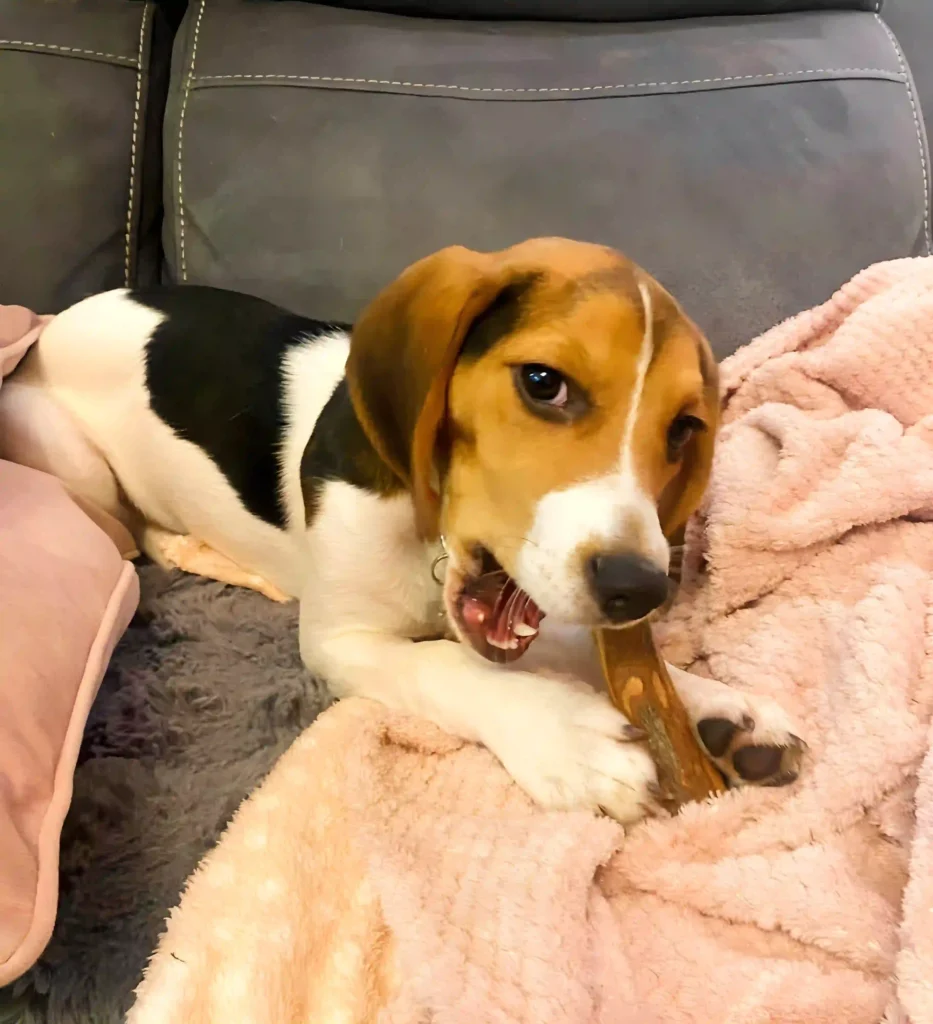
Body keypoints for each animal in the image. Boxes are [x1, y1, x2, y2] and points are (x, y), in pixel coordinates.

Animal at [0, 239, 802, 823]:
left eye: (684, 430)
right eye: (543, 383)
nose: (638, 590)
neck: (427, 544)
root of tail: (55, 324)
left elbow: (581, 649)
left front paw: (713, 712)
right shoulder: (340, 641)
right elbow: (444, 667)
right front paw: (566, 736)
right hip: (75, 462)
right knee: (135, 539)